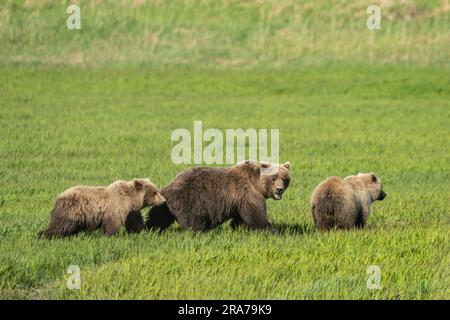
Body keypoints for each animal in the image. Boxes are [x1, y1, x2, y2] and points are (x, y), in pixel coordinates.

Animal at [145, 160, 292, 232]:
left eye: (285, 178)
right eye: (273, 178)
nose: (279, 190)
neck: (255, 183)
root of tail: (169, 186)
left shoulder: (239, 199)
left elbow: (241, 216)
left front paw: (238, 227)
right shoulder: (248, 193)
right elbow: (256, 215)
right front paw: (273, 230)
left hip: (165, 204)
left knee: (158, 217)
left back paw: (149, 229)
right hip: (192, 200)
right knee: (194, 220)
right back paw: (200, 231)